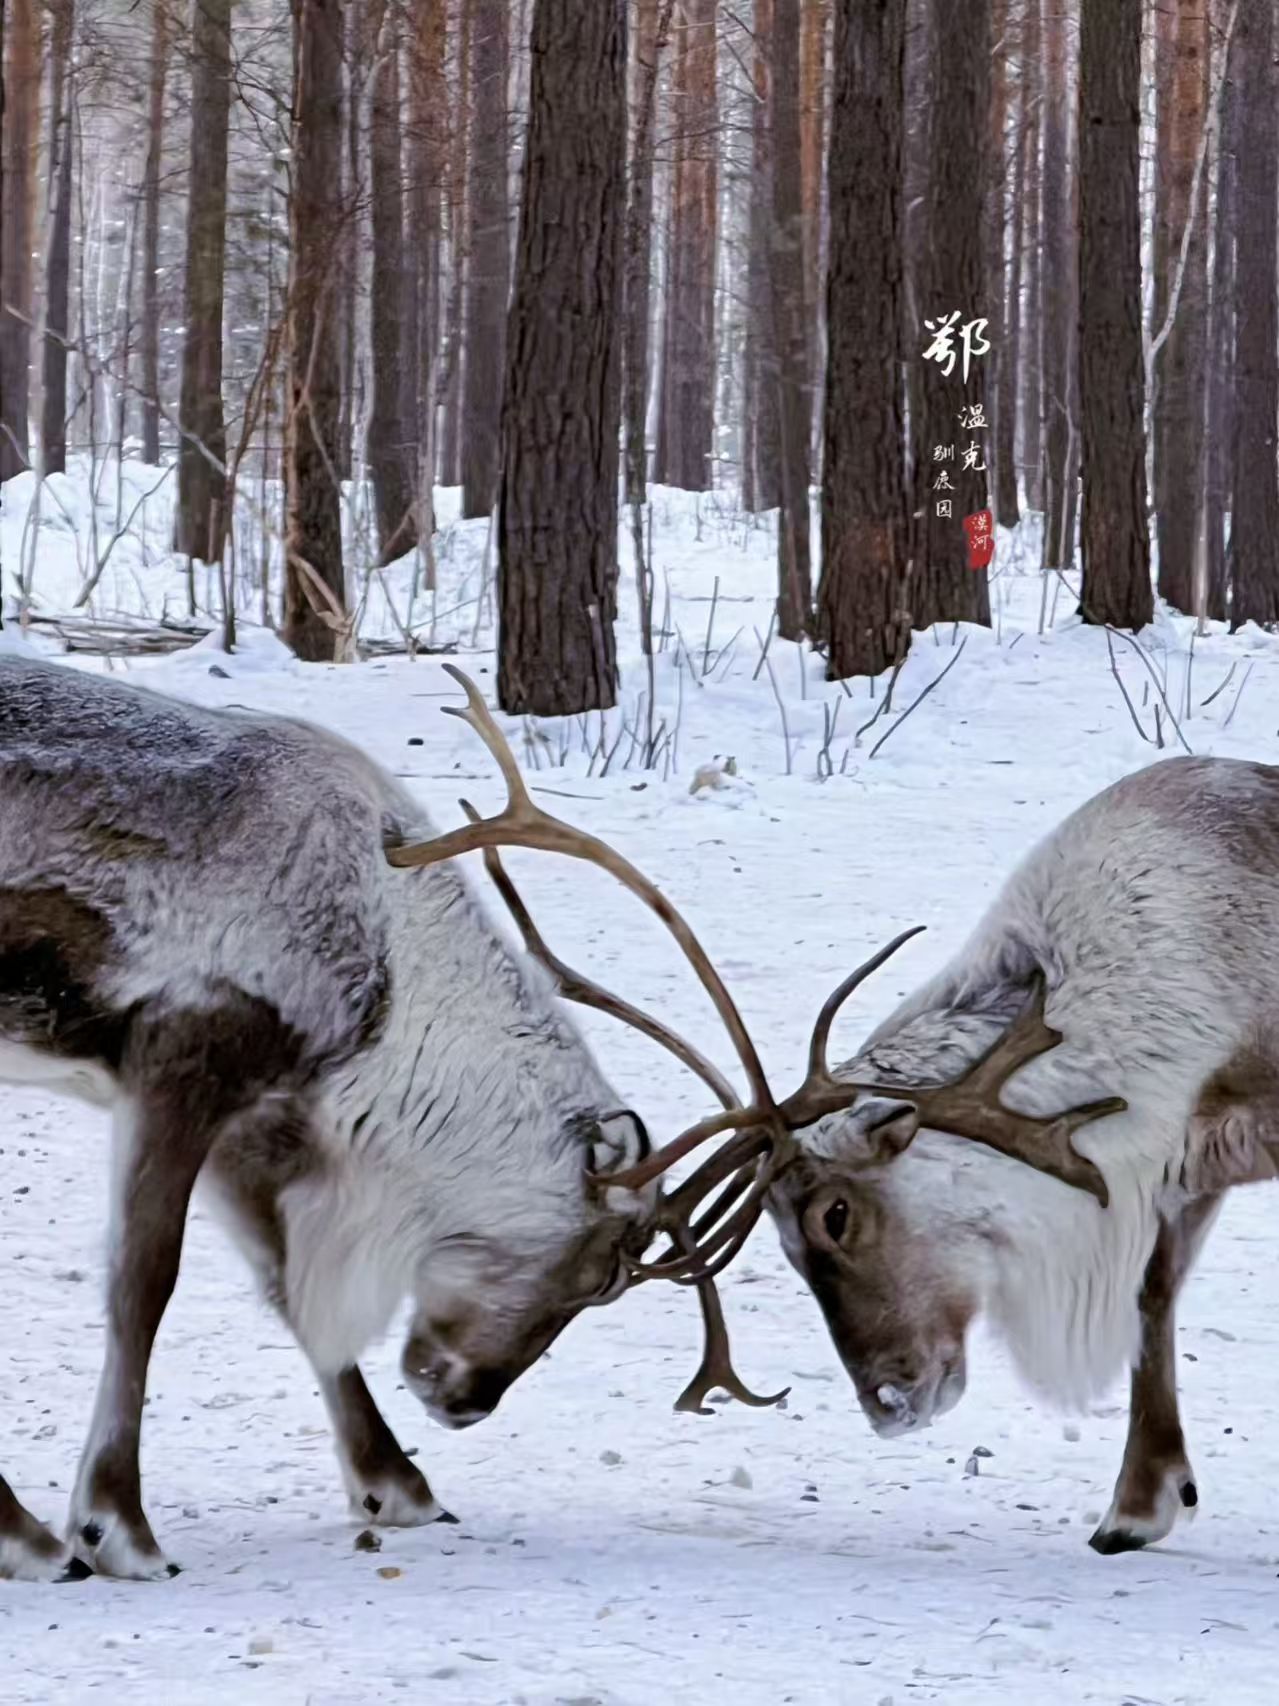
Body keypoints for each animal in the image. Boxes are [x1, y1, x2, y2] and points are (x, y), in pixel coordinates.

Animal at [0, 654, 1113, 1582]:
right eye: (600, 1272)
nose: (462, 1399)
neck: (385, 968)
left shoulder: (254, 1112)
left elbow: (286, 1288)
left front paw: (396, 1484)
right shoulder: (182, 1059)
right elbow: (143, 1287)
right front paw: (115, 1525)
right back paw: (38, 1539)